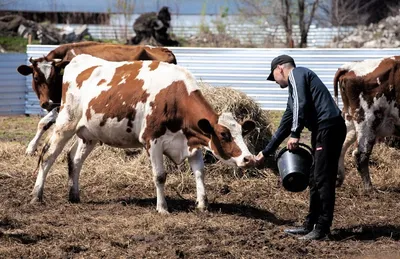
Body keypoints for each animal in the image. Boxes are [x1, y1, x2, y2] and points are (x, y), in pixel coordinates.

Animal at [17, 41, 177, 155]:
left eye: (54, 77)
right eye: (36, 78)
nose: (47, 103)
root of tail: (164, 50)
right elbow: (43, 123)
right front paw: (31, 148)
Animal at [32, 54, 255, 213]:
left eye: (242, 133)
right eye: (224, 134)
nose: (249, 158)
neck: (175, 96)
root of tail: (79, 60)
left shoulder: (193, 141)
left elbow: (200, 173)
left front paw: (202, 204)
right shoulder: (152, 140)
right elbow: (160, 176)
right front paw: (162, 208)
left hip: (89, 134)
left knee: (74, 159)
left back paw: (74, 195)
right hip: (66, 123)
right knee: (48, 155)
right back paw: (37, 195)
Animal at [332, 56, 400, 191]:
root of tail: (351, 67)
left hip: (350, 118)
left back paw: (338, 178)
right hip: (368, 119)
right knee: (360, 154)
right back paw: (369, 188)